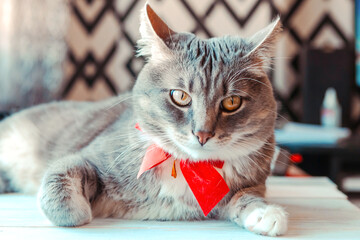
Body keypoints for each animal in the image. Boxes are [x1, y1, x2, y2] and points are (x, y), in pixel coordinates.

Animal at [0, 3, 288, 236]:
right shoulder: (91, 156)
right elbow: (62, 177)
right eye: (180, 96)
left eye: (231, 102)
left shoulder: (251, 182)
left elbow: (247, 196)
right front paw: (81, 211)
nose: (203, 134)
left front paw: (266, 213)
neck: (189, 167)